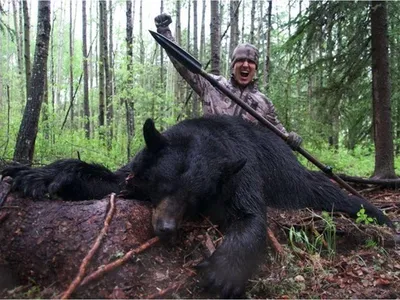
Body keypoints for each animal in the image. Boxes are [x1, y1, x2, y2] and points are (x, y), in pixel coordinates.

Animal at [1, 115, 392, 298]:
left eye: (195, 197)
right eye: (163, 185)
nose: (165, 228)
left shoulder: (241, 170)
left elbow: (250, 216)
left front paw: (223, 272)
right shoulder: (135, 173)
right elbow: (111, 179)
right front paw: (36, 175)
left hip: (297, 181)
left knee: (335, 195)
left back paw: (382, 218)